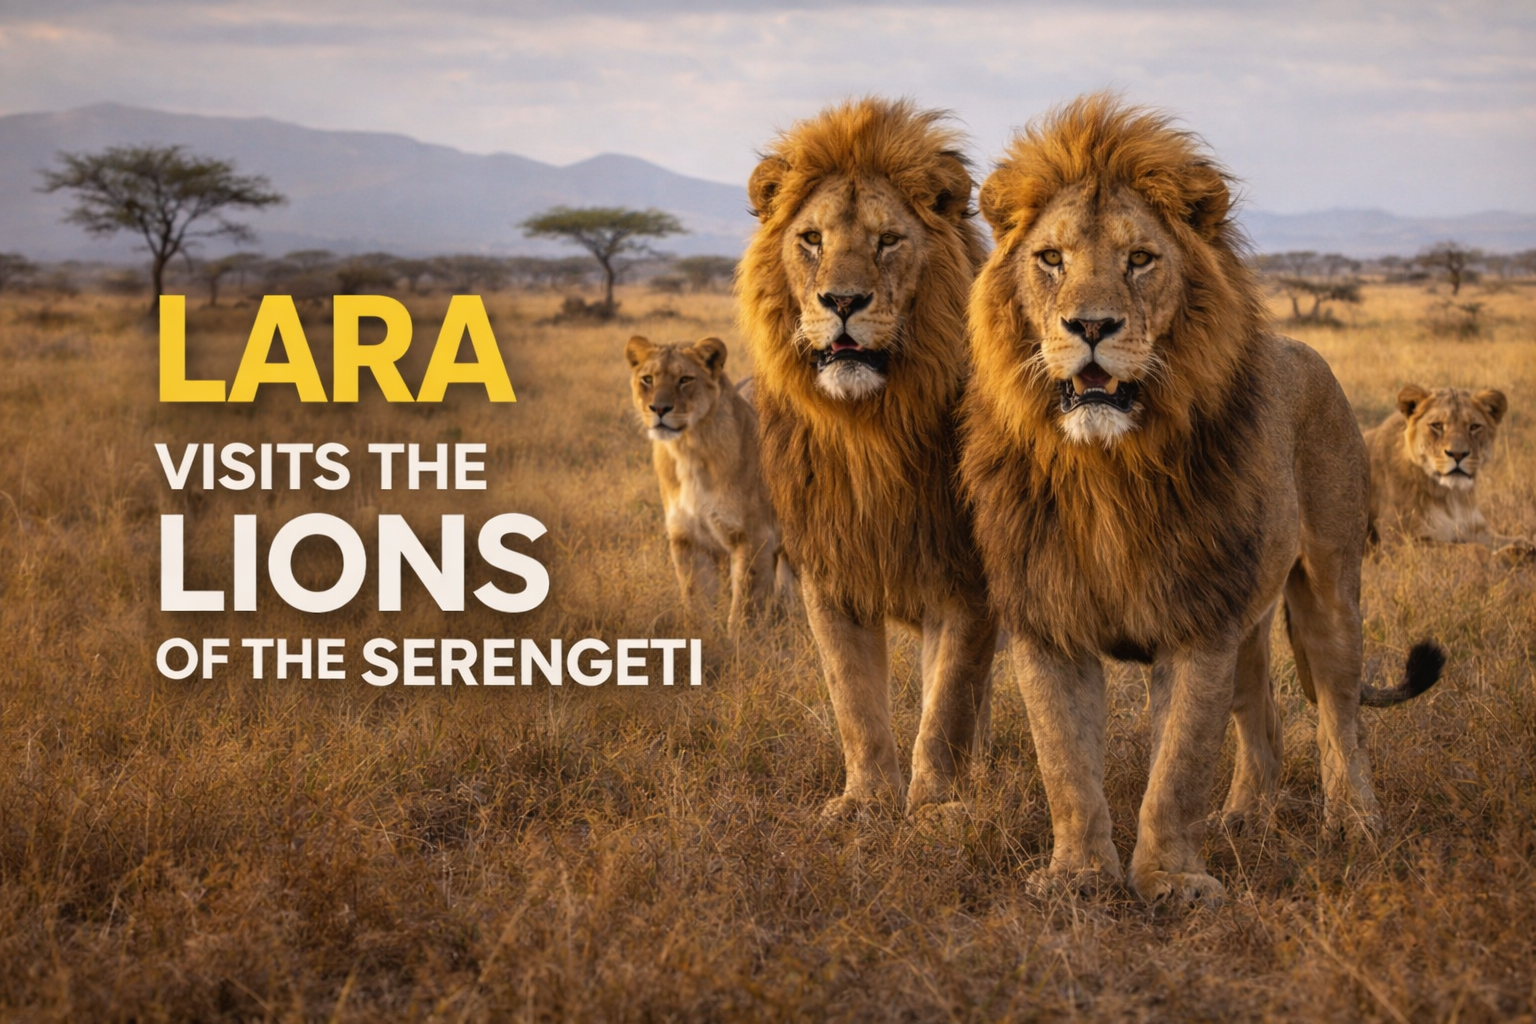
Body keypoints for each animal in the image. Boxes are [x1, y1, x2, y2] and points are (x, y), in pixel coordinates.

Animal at [626, 335, 791, 635]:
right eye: (647, 379)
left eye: (685, 379)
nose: (659, 409)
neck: (687, 450)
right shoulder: (688, 539)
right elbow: (695, 599)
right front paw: (699, 638)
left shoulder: (755, 536)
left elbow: (746, 606)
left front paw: (741, 644)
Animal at [737, 97, 998, 817]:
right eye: (812, 240)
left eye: (887, 241)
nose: (844, 302)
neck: (870, 430)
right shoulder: (828, 567)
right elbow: (853, 697)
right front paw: (865, 802)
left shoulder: (967, 580)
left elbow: (948, 707)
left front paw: (933, 808)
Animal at [957, 94, 1444, 904]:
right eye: (1051, 259)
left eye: (1140, 259)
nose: (1091, 326)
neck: (1106, 469)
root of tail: (1305, 352)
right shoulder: (1048, 618)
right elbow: (1066, 765)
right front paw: (1078, 875)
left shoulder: (1198, 622)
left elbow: (1178, 767)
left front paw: (1172, 882)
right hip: (1249, 616)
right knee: (1264, 716)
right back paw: (1245, 817)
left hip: (1329, 589)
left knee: (1340, 714)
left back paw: (1355, 823)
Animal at [1363, 384, 1533, 563]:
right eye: (1437, 425)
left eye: (1474, 426)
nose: (1457, 454)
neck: (1451, 496)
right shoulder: (1397, 543)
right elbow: (1467, 549)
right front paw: (1507, 555)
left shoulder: (1475, 528)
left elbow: (1511, 538)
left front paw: (1524, 547)